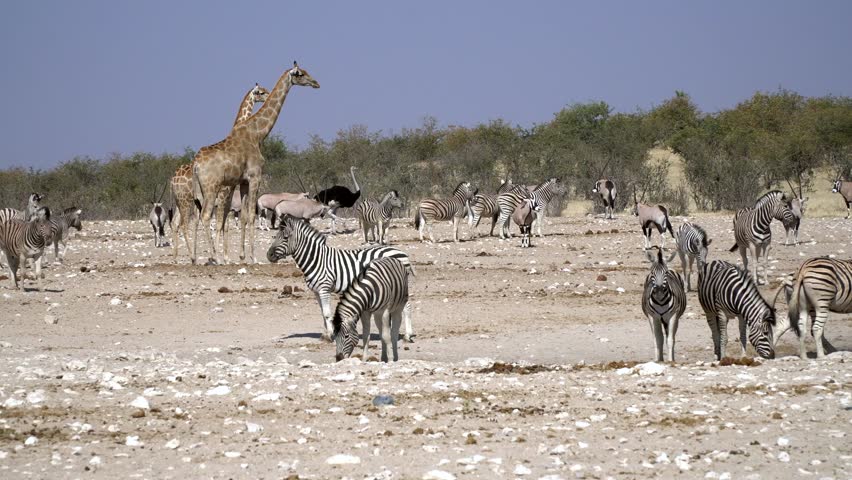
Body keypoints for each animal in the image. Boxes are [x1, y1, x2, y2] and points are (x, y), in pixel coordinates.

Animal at [170, 84, 270, 260]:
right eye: (261, 92)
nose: (269, 95)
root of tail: (172, 180)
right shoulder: (225, 195)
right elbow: (222, 225)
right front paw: (224, 256)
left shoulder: (226, 198)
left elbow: (223, 224)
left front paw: (223, 255)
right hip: (186, 201)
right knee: (184, 224)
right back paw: (193, 256)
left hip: (179, 201)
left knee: (177, 223)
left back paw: (179, 257)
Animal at [192, 61, 320, 264]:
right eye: (300, 73)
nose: (316, 83)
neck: (258, 133)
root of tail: (196, 165)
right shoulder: (255, 177)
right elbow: (252, 215)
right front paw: (252, 257)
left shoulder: (244, 181)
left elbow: (244, 217)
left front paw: (242, 256)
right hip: (212, 187)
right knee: (207, 217)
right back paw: (214, 257)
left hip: (201, 192)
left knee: (199, 218)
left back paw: (199, 257)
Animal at [264, 216, 414, 344]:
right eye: (275, 236)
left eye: (285, 237)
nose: (269, 255)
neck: (317, 259)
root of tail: (402, 252)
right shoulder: (316, 291)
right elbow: (323, 314)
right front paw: (327, 334)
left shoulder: (324, 288)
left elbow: (327, 314)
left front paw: (330, 336)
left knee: (406, 307)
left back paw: (408, 336)